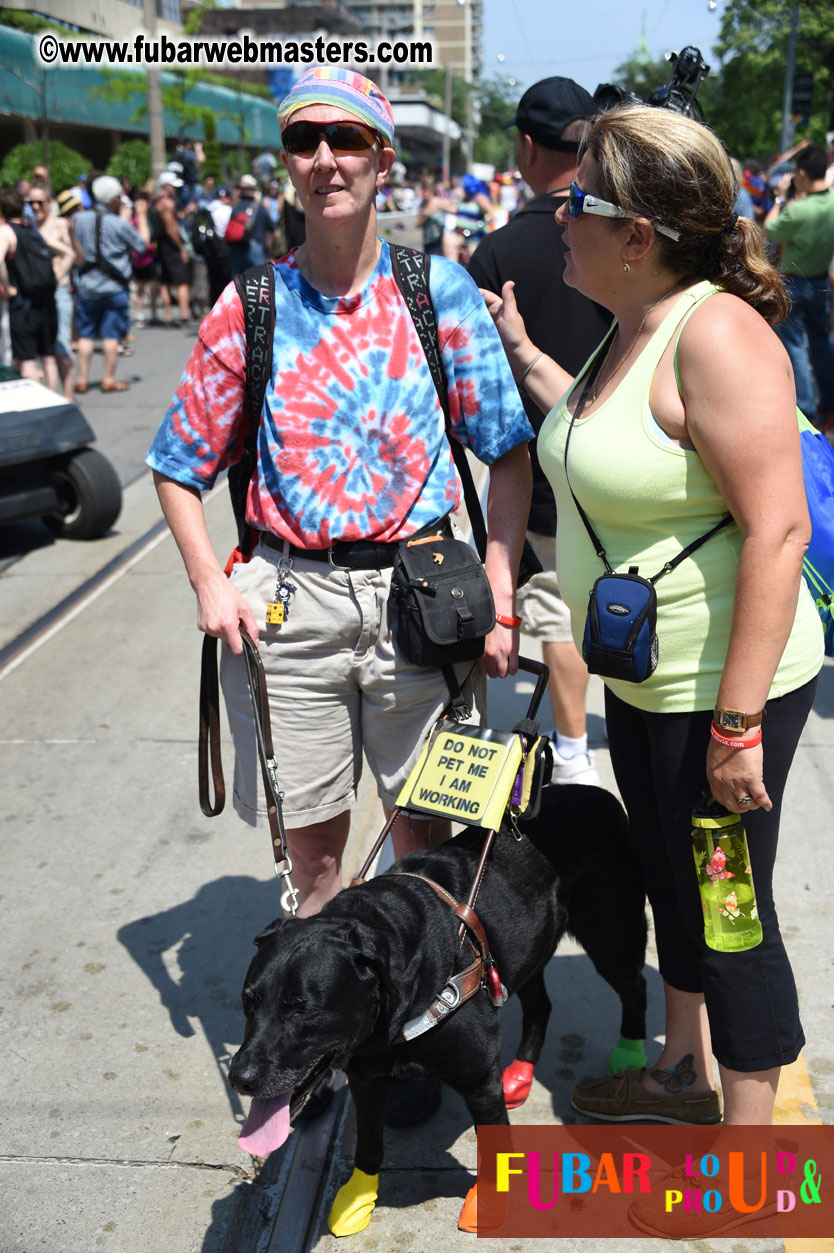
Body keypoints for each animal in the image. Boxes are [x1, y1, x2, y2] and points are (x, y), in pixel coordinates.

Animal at [229, 781, 651, 1232]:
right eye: (248, 1001)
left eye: (302, 1009)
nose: (241, 1078)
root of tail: (595, 791)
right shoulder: (366, 1077)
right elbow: (369, 1145)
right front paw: (358, 1199)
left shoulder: (478, 1078)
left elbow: (493, 1148)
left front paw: (489, 1204)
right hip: (524, 954)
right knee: (541, 1005)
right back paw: (520, 1074)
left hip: (610, 935)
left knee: (635, 988)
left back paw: (630, 1055)